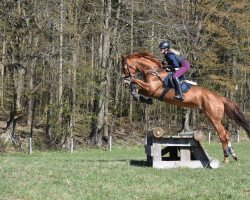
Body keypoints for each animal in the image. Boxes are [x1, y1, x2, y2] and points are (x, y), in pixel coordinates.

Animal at [120, 51, 248, 162]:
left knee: (222, 134)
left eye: (125, 67)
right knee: (226, 133)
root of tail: (219, 97)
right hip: (213, 117)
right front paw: (140, 97)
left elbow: (135, 82)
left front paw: (135, 90)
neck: (154, 72)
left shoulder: (151, 89)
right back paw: (233, 154)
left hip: (214, 118)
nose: (125, 79)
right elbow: (136, 87)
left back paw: (226, 157)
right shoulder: (149, 91)